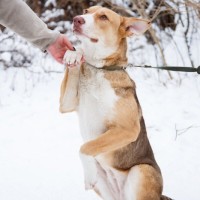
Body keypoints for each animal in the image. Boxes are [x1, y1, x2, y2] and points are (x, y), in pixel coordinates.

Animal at [59, 5, 172, 199]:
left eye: (103, 17)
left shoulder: (127, 129)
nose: (77, 19)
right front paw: (74, 54)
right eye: (86, 11)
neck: (98, 69)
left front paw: (88, 175)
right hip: (104, 187)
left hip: (141, 171)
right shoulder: (66, 104)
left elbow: (85, 147)